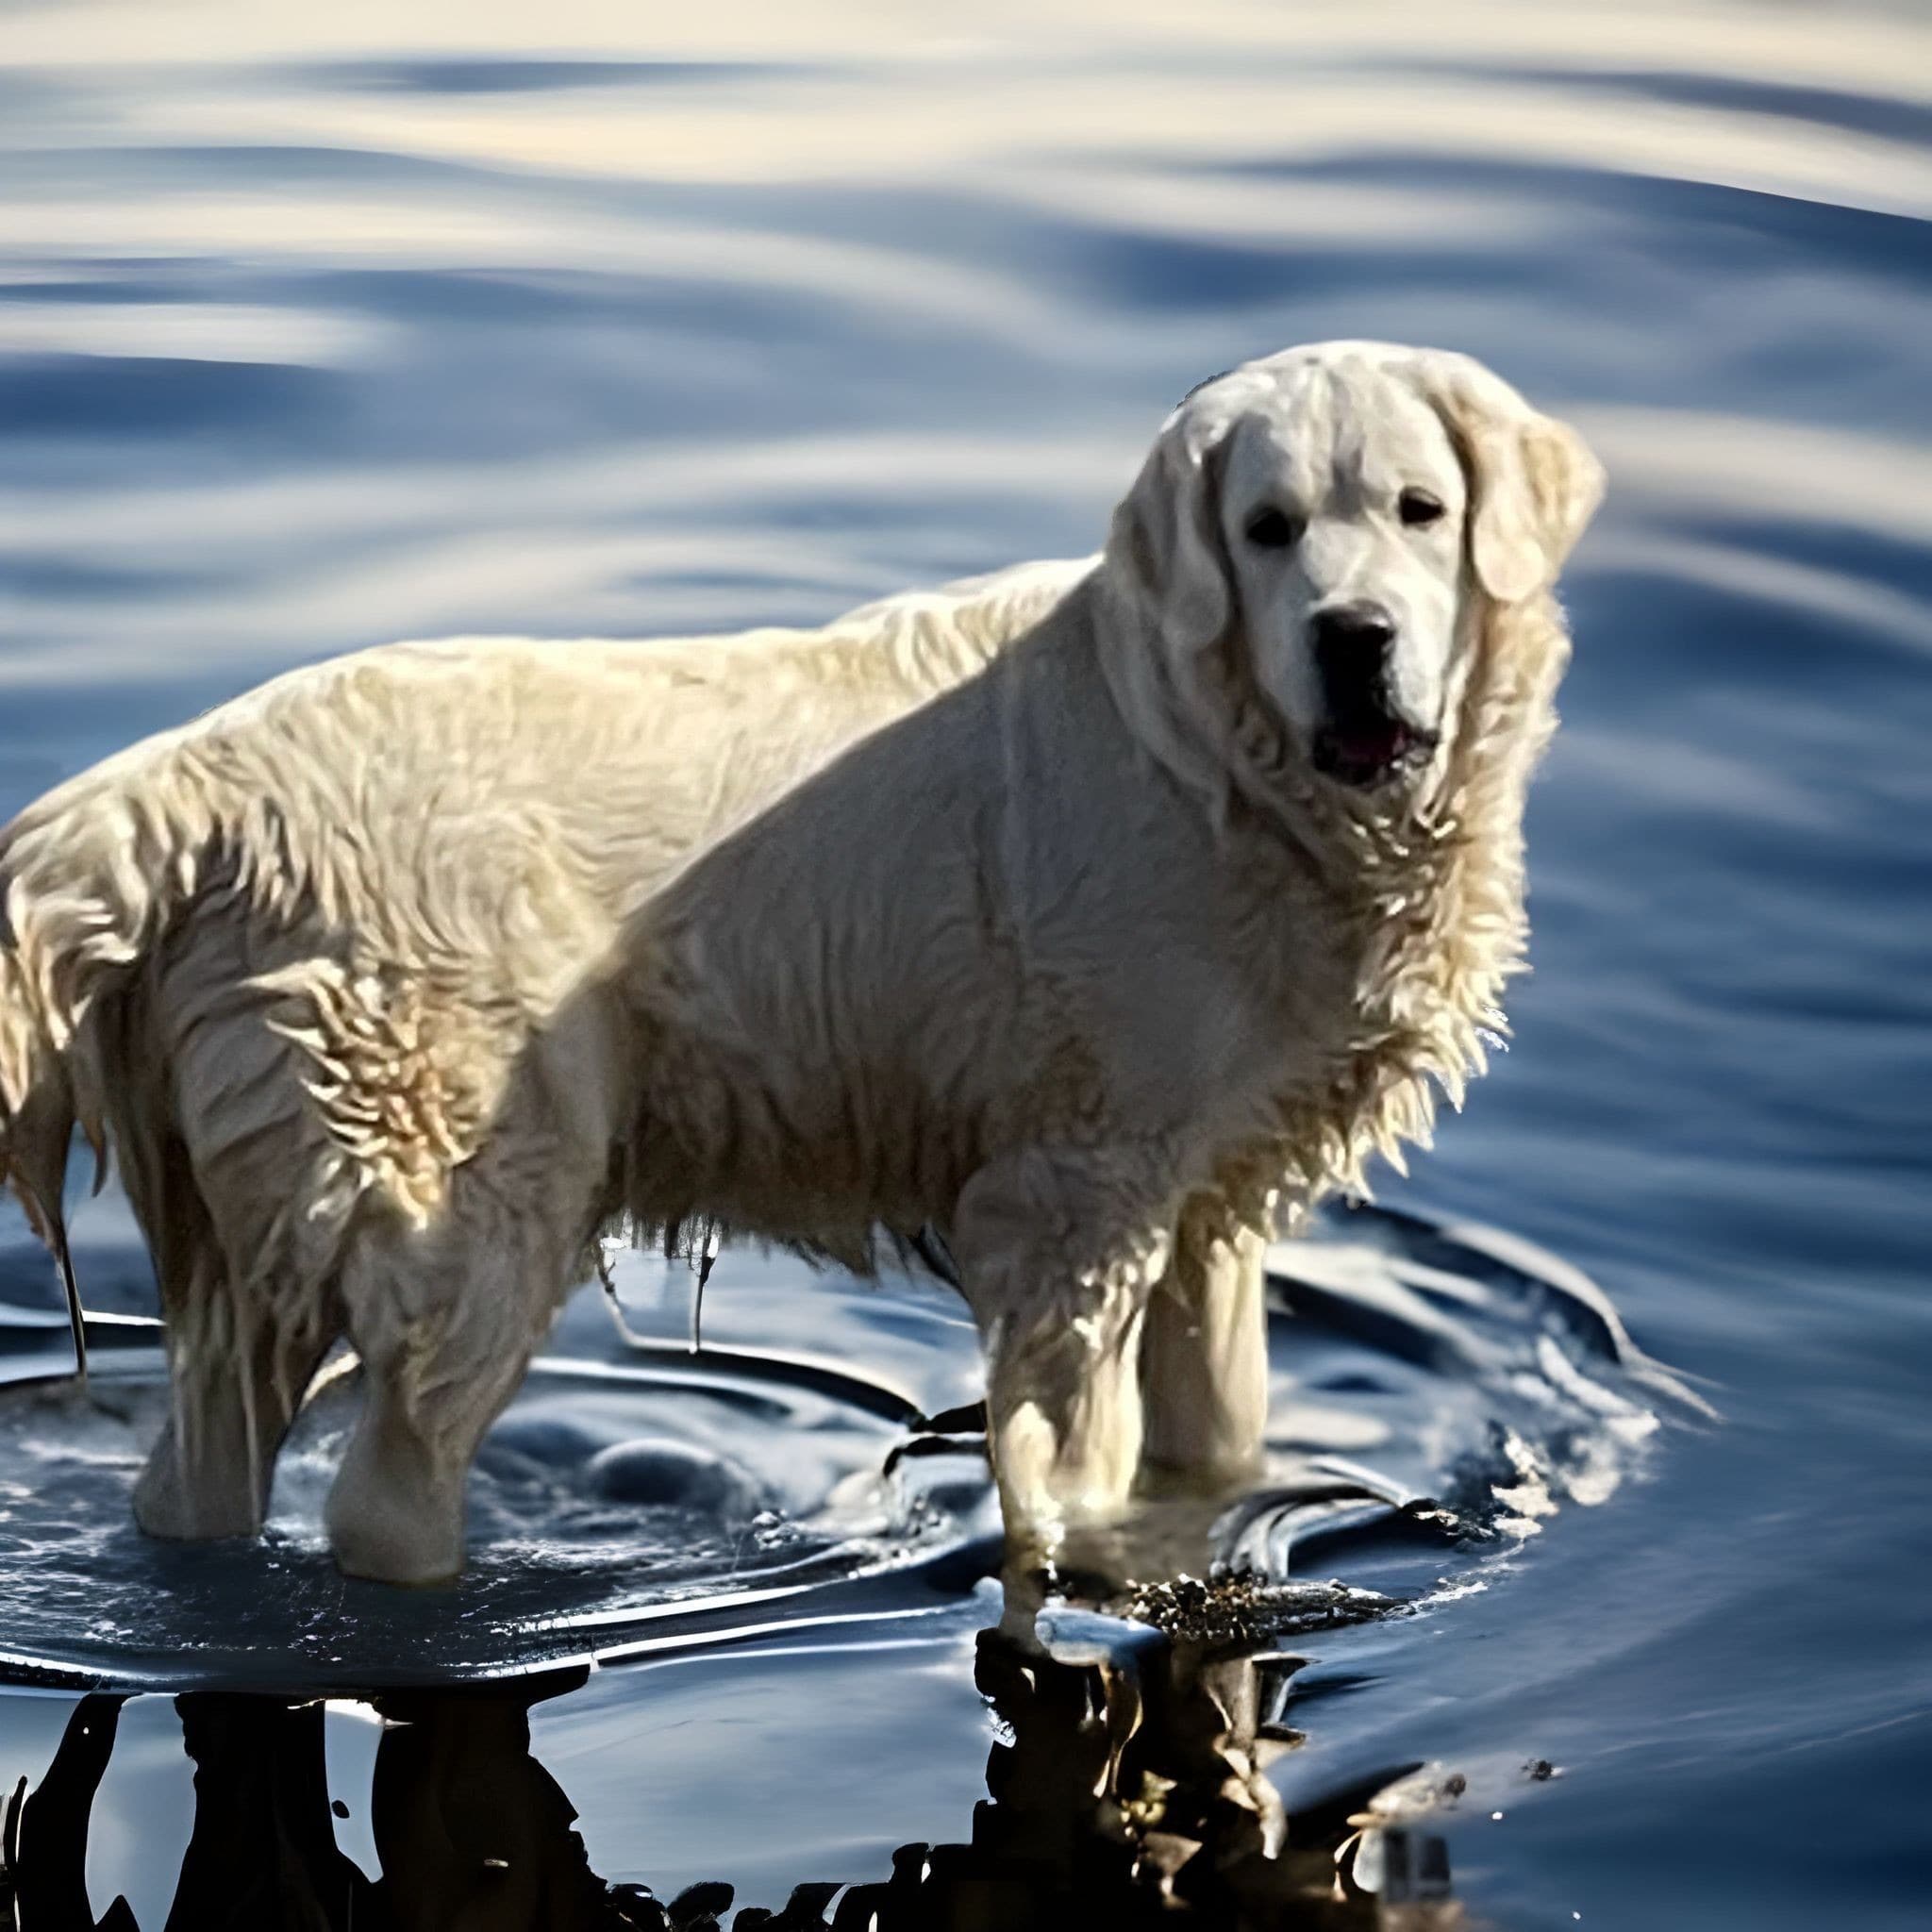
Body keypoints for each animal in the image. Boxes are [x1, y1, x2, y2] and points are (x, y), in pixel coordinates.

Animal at [4, 347, 1599, 1584]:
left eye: (1420, 510)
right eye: (1269, 528)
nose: (1355, 638)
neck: (1218, 758)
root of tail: (184, 789)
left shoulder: (1211, 1190)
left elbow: (1217, 1431)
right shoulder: (1077, 1193)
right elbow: (1080, 1462)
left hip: (250, 1200)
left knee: (203, 1455)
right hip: (470, 1180)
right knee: (390, 1486)